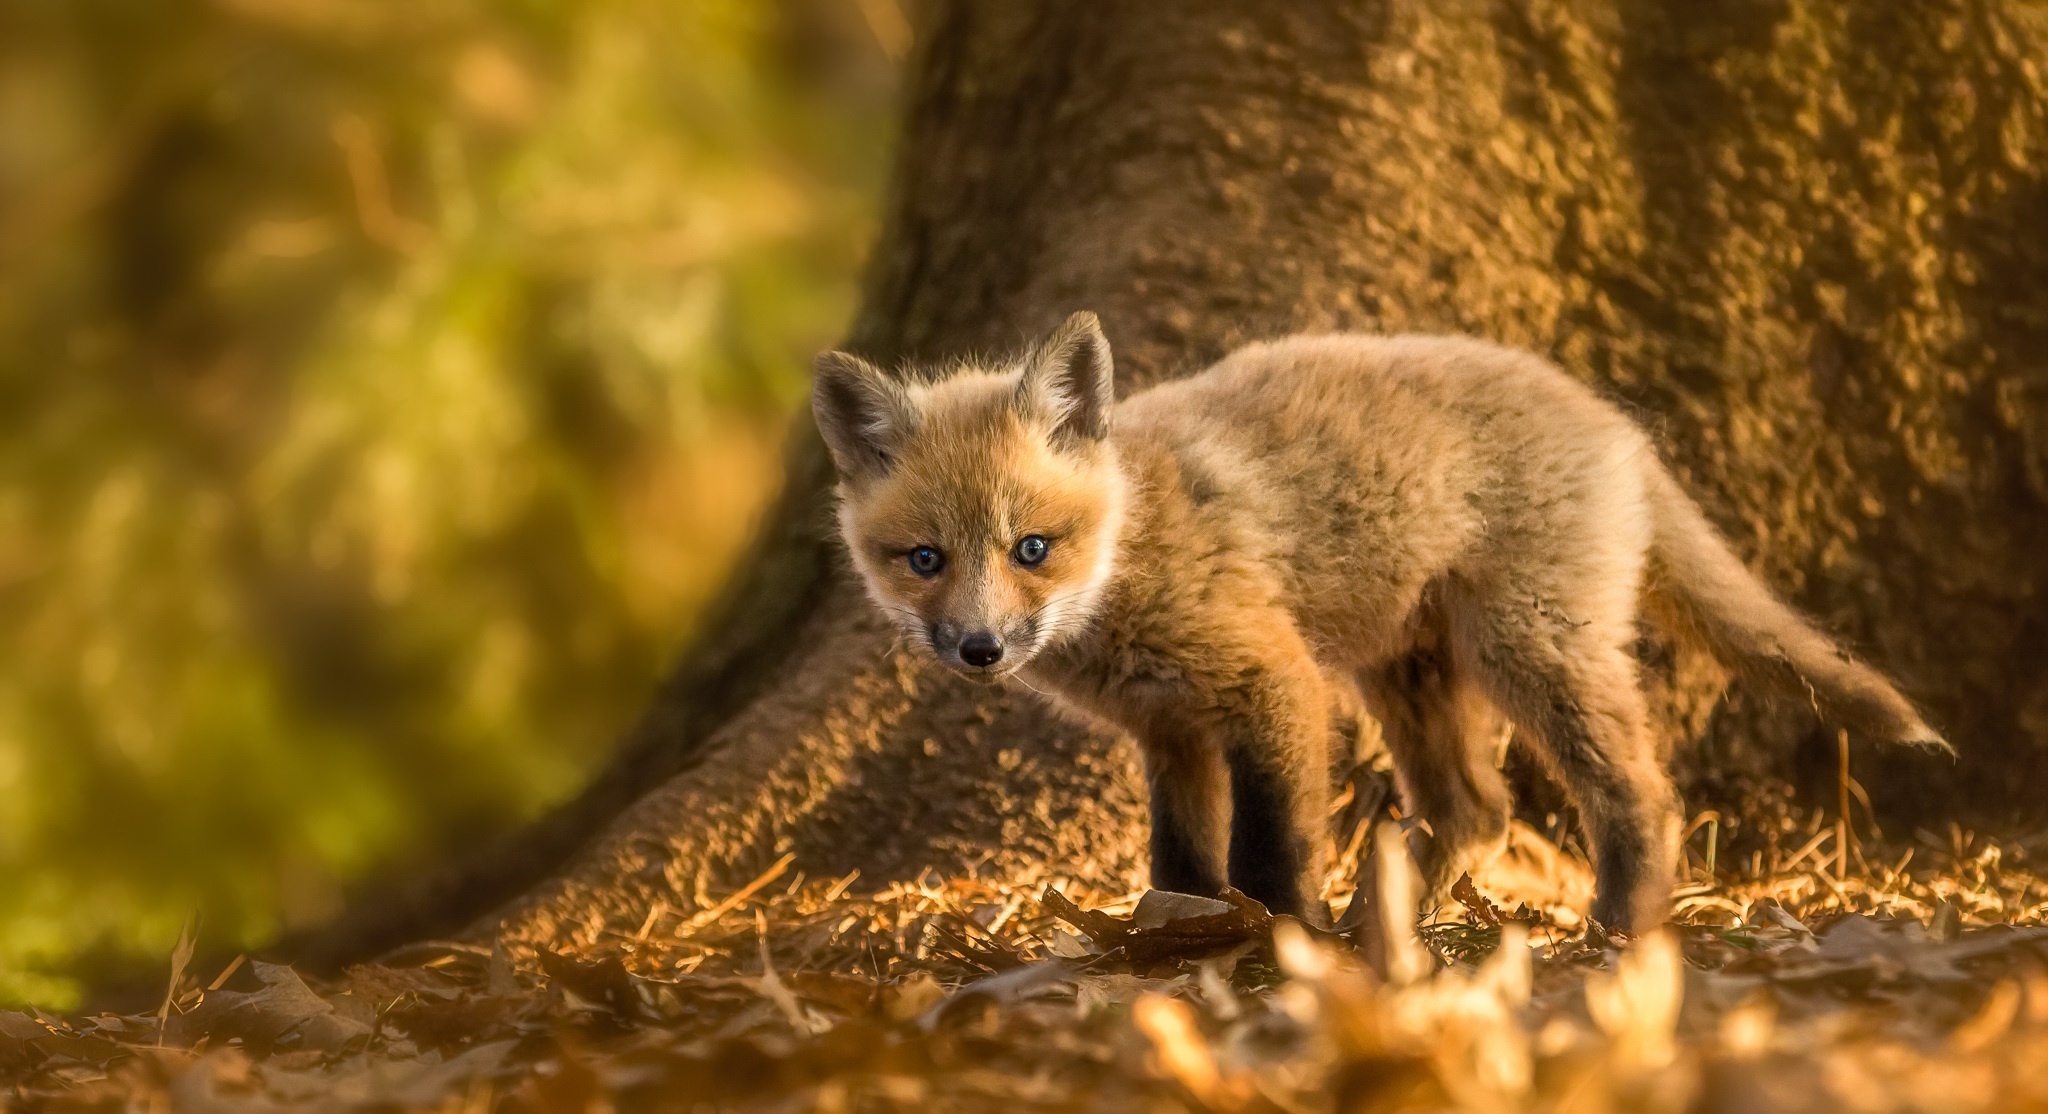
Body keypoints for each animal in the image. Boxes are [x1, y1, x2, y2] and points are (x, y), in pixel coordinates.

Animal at [806, 311, 1941, 929]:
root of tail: (1616, 426)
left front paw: (1276, 941)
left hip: (1524, 649)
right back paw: (1383, 922)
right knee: (1476, 808)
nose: (980, 648)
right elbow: (1181, 859)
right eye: (924, 560)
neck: (1131, 546)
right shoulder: (1171, 733)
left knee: (1637, 793)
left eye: (1031, 549)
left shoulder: (1275, 685)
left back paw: (1615, 927)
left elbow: (1269, 848)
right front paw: (1179, 938)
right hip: (1410, 673)